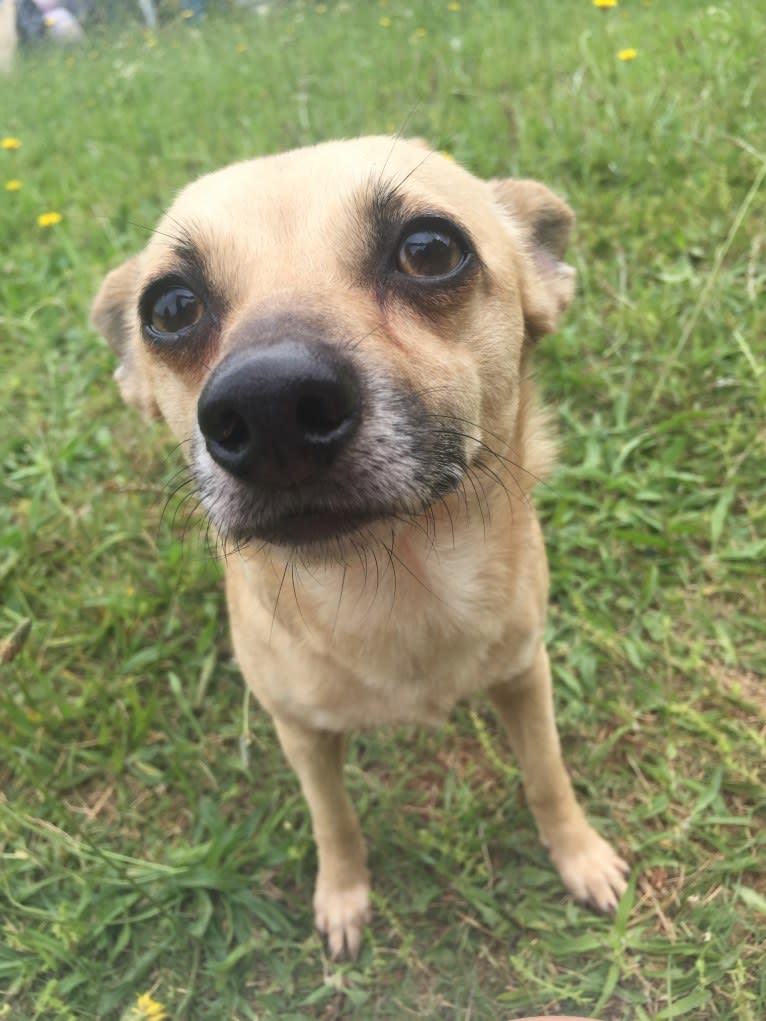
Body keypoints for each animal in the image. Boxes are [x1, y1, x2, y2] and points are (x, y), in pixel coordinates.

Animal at [91, 135, 629, 955]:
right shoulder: (303, 735)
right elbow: (333, 820)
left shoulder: (523, 676)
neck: (394, 585)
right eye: (171, 308)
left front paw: (579, 853)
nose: (268, 404)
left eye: (430, 249)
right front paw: (343, 896)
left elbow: (547, 774)